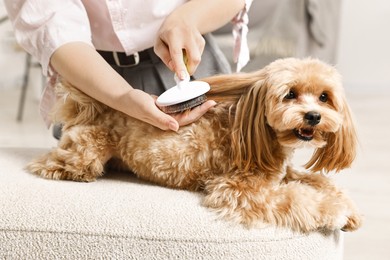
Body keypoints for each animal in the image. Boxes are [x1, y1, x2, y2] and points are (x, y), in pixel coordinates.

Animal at [27, 58, 362, 232]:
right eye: (290, 94)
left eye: (324, 97)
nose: (313, 116)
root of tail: (90, 108)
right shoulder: (238, 189)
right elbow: (296, 198)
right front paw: (335, 211)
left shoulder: (279, 172)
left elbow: (315, 180)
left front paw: (348, 208)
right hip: (86, 151)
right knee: (59, 162)